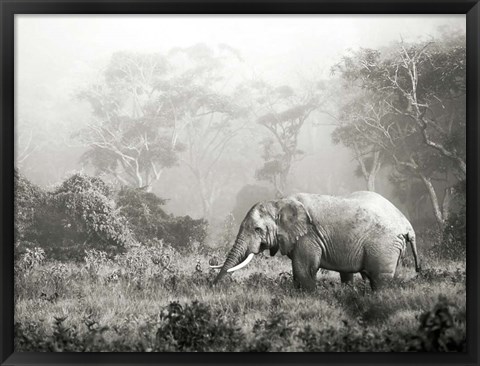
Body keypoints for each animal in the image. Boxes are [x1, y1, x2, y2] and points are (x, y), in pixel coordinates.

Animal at [210, 192, 420, 292]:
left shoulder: (308, 236)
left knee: (380, 280)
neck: (279, 201)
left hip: (384, 245)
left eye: (257, 230)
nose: (212, 286)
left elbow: (304, 270)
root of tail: (407, 225)